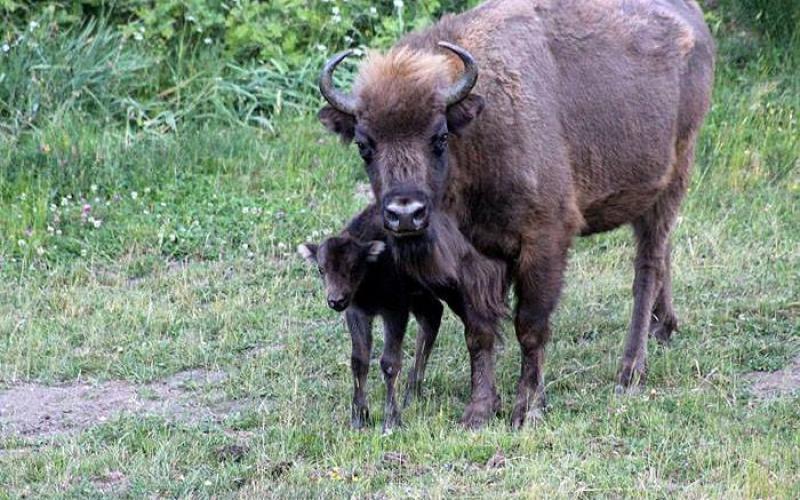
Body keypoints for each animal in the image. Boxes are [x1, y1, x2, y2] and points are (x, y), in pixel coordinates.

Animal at [316, 0, 716, 430]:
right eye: (364, 145)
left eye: (439, 137)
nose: (405, 215)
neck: (479, 127)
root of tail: (694, 20)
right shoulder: (474, 258)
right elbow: (479, 332)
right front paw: (478, 411)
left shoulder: (544, 242)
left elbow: (530, 326)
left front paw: (527, 408)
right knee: (664, 254)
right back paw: (664, 327)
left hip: (673, 177)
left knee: (648, 267)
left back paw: (631, 370)